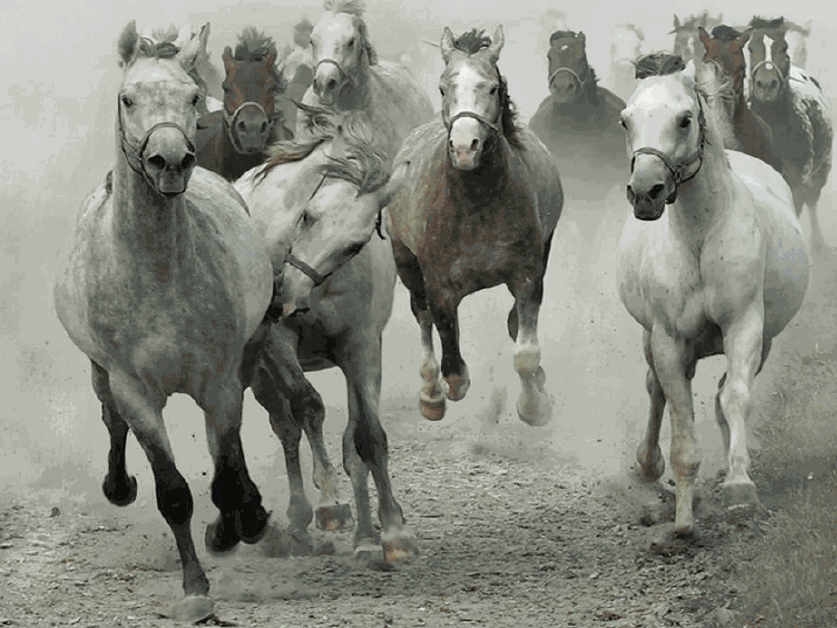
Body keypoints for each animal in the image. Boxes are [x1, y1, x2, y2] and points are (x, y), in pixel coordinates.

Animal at [52, 21, 276, 621]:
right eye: (127, 98)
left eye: (193, 98)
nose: (169, 161)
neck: (156, 275)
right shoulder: (134, 388)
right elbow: (172, 491)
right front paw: (195, 588)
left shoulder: (218, 381)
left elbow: (225, 469)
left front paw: (236, 524)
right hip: (98, 371)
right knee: (110, 420)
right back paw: (118, 485)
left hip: (245, 354)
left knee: (232, 443)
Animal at [235, 104, 414, 564]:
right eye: (308, 215)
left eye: (355, 244)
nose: (285, 297)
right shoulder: (278, 342)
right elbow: (308, 406)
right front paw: (331, 502)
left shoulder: (362, 344)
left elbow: (368, 436)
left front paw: (393, 531)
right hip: (259, 373)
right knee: (286, 426)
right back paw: (299, 519)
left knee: (351, 442)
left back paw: (365, 536)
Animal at [386, 26, 564, 426]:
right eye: (442, 88)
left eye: (493, 87)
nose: (465, 146)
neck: (476, 202)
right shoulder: (439, 284)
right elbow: (450, 353)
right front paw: (449, 387)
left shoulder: (528, 273)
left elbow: (524, 349)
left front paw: (534, 405)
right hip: (405, 262)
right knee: (421, 317)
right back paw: (430, 393)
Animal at [617, 53, 811, 536]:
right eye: (625, 120)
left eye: (685, 119)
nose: (645, 193)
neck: (700, 236)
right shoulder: (668, 340)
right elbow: (679, 415)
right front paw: (683, 520)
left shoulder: (744, 325)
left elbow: (734, 396)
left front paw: (740, 486)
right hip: (651, 338)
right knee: (655, 390)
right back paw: (649, 464)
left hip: (763, 340)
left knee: (724, 393)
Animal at [746, 16, 833, 253]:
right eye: (750, 47)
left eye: (783, 47)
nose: (766, 84)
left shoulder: (797, 181)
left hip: (822, 169)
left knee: (813, 198)